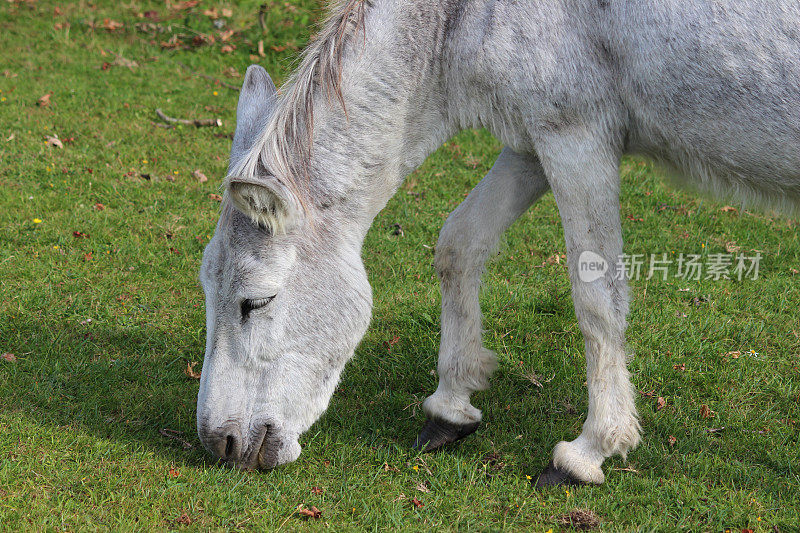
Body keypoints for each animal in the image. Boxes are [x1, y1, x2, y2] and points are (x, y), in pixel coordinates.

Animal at [197, 0, 800, 484]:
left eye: (256, 302)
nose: (219, 444)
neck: (461, 15)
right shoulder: (532, 143)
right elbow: (459, 245)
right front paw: (450, 406)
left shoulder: (577, 140)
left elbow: (597, 300)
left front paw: (589, 452)